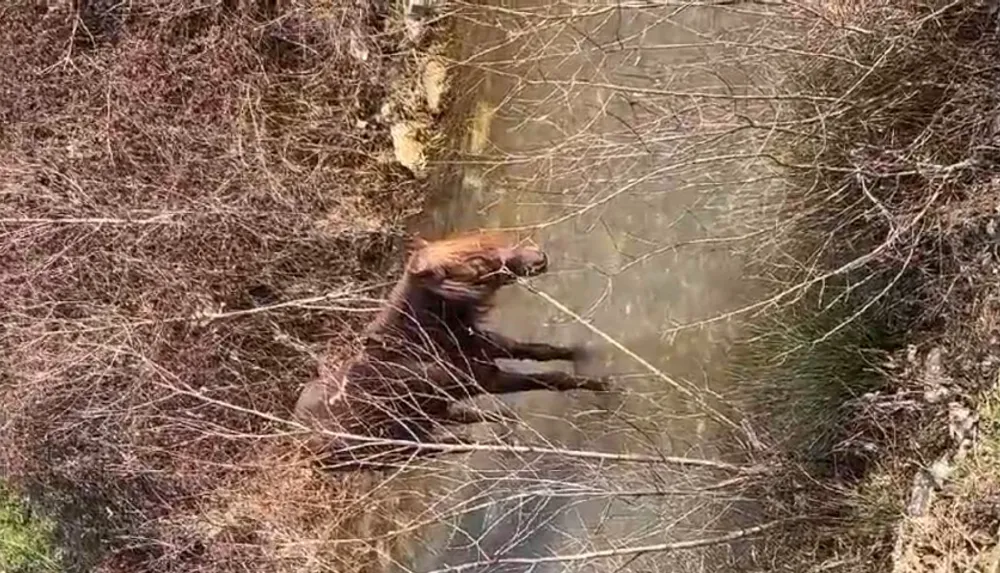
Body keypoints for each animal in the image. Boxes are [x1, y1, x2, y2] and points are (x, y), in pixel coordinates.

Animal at [292, 230, 608, 472]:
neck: (421, 342)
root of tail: (301, 444)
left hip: (428, 418)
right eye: (476, 264)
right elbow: (550, 379)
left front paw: (582, 353)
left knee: (468, 420)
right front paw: (602, 384)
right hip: (401, 449)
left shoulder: (486, 350)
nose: (537, 257)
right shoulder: (484, 379)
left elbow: (539, 351)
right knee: (456, 444)